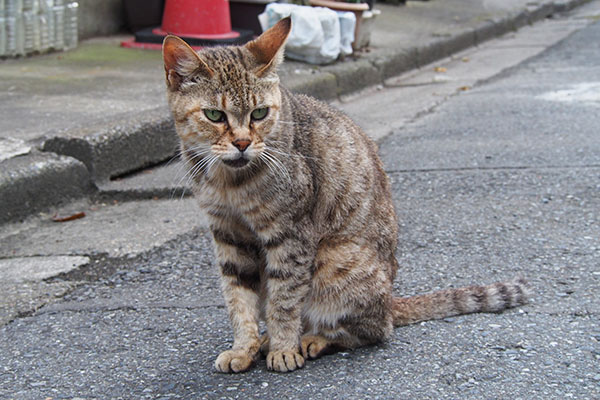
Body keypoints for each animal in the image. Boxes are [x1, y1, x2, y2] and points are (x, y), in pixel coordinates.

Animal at [161, 17, 528, 374]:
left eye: (260, 113)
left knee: (371, 330)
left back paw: (312, 339)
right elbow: (238, 299)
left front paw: (283, 348)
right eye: (214, 115)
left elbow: (284, 299)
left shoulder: (291, 236)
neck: (229, 182)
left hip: (334, 261)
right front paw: (244, 348)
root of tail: (391, 300)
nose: (242, 143)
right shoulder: (228, 235)